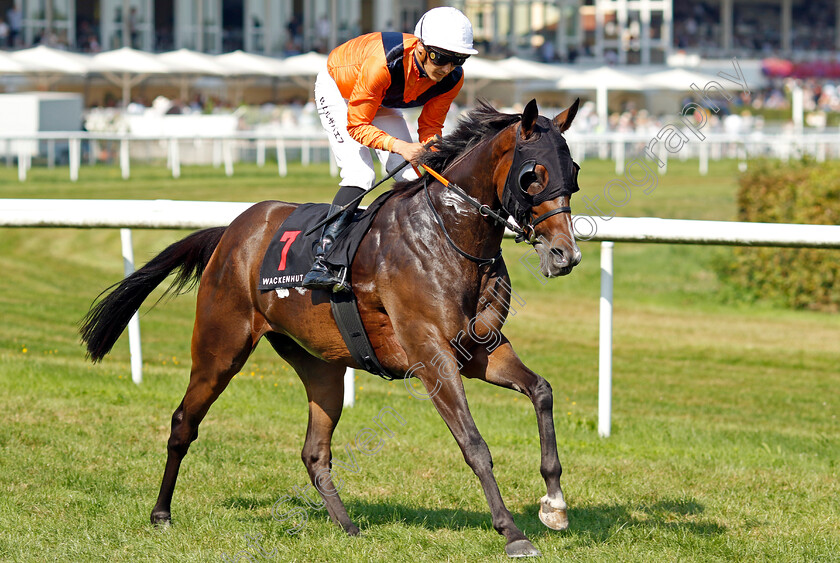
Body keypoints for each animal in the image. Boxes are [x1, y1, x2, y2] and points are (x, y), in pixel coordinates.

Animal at [82, 99, 580, 556]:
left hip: (320, 366)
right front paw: (512, 532)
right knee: (184, 422)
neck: (448, 237)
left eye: (572, 170)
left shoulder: (479, 350)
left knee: (314, 451)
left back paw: (349, 527)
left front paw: (554, 505)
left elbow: (542, 390)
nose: (565, 255)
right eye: (532, 175)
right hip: (220, 348)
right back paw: (161, 513)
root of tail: (230, 232)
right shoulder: (431, 355)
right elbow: (474, 444)